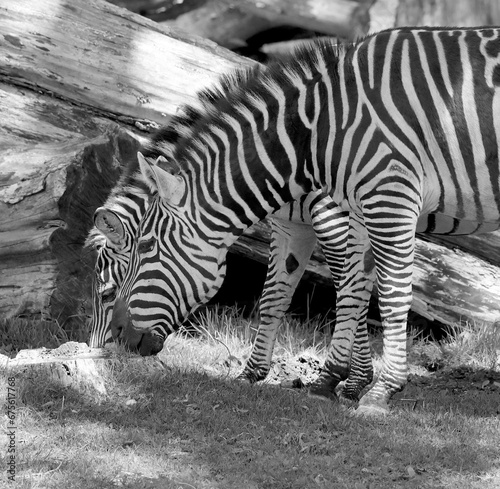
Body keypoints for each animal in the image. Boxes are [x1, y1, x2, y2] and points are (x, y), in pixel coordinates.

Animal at [111, 27, 500, 416]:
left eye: (145, 247)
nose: (117, 335)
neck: (312, 134)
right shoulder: (348, 210)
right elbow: (334, 290)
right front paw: (325, 380)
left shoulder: (381, 198)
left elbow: (386, 293)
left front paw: (378, 390)